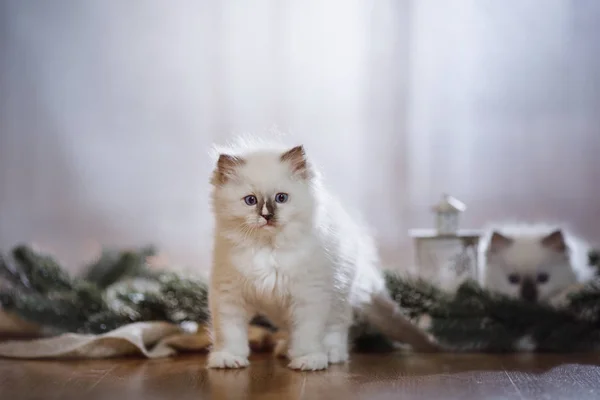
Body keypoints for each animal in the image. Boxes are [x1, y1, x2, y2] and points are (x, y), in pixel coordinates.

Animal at [206, 141, 436, 372]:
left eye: (281, 198)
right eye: (251, 200)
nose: (267, 216)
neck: (268, 249)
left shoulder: (310, 297)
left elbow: (308, 334)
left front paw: (308, 359)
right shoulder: (229, 296)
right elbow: (230, 333)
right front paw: (228, 358)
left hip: (338, 296)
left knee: (337, 330)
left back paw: (331, 353)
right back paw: (285, 349)